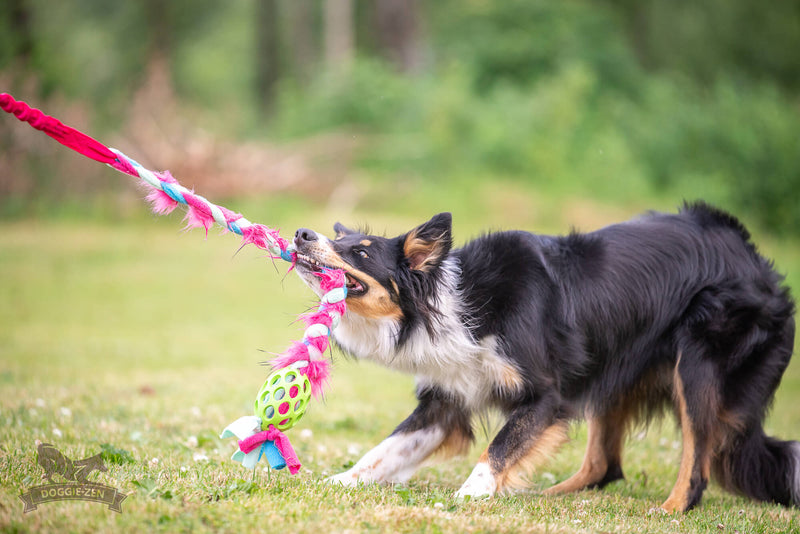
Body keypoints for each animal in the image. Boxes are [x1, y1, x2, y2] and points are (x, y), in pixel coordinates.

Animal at [290, 203, 796, 512]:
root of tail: (758, 261)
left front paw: (473, 492)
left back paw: (669, 510)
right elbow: (386, 449)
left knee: (697, 462)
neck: (458, 308)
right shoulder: (446, 400)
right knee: (603, 465)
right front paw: (337, 481)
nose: (300, 233)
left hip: (695, 363)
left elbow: (498, 447)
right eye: (344, 241)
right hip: (611, 365)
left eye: (360, 252)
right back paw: (551, 496)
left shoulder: (547, 395)